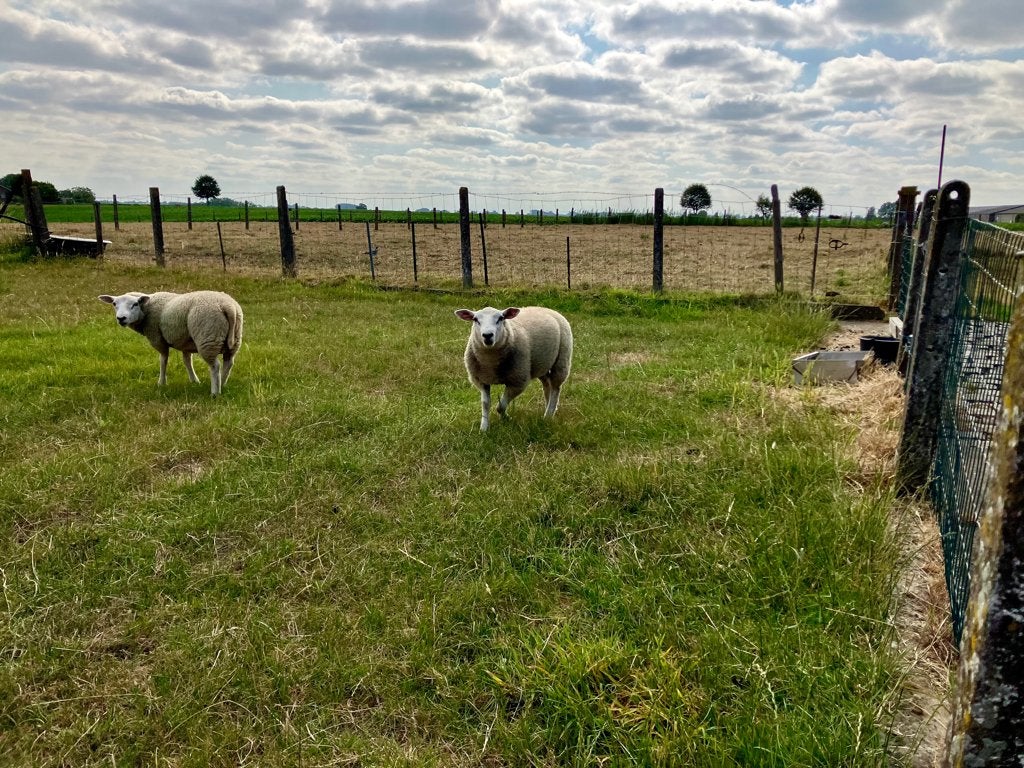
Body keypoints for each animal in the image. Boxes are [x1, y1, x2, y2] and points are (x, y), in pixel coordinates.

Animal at [98, 290, 243, 395]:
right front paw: (194, 381)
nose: (121, 318)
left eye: (135, 304)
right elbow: (187, 361)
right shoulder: (185, 341)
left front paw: (161, 383)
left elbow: (163, 360)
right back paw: (223, 384)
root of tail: (228, 307)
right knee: (228, 363)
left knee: (215, 366)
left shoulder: (158, 339)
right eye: (114, 304)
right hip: (234, 339)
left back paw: (215, 392)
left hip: (208, 337)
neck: (147, 309)